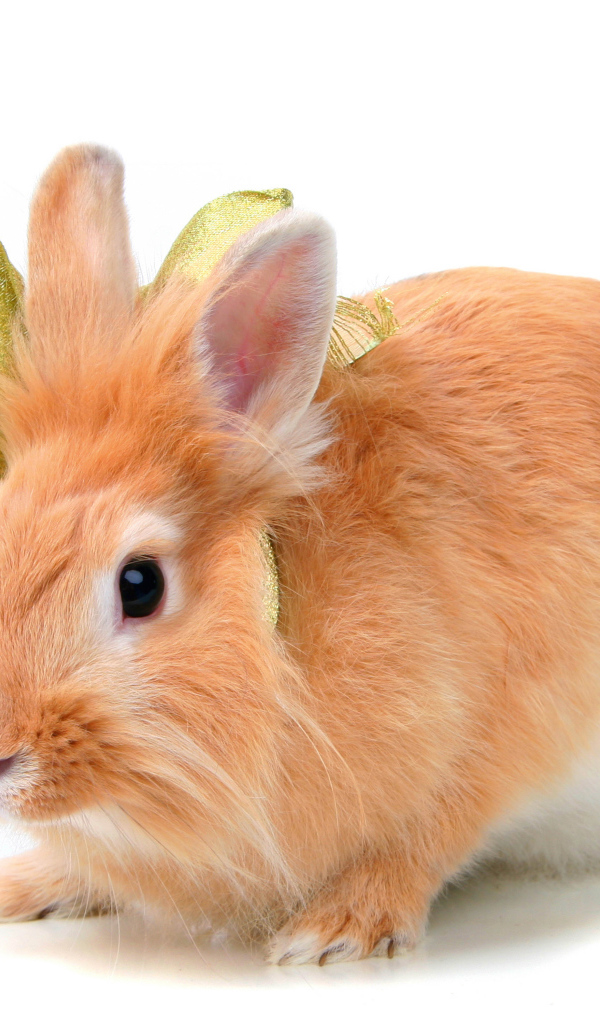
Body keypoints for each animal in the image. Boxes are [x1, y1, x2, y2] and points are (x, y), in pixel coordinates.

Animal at [0, 144, 597, 966]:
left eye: (140, 584)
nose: (1, 755)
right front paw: (27, 887)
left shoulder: (502, 732)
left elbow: (427, 838)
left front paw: (336, 930)